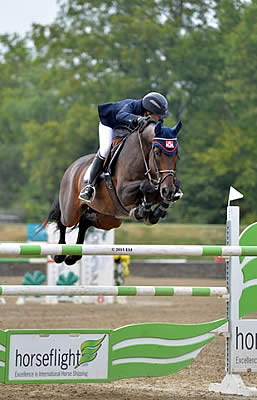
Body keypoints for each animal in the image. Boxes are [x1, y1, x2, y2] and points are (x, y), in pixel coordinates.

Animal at [47, 119, 181, 266]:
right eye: (157, 152)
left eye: (176, 154)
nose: (168, 190)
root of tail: (71, 167)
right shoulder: (123, 192)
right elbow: (147, 186)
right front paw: (142, 210)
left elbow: (164, 192)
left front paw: (154, 212)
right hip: (71, 212)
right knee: (63, 221)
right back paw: (60, 254)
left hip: (108, 218)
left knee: (85, 221)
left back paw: (73, 257)